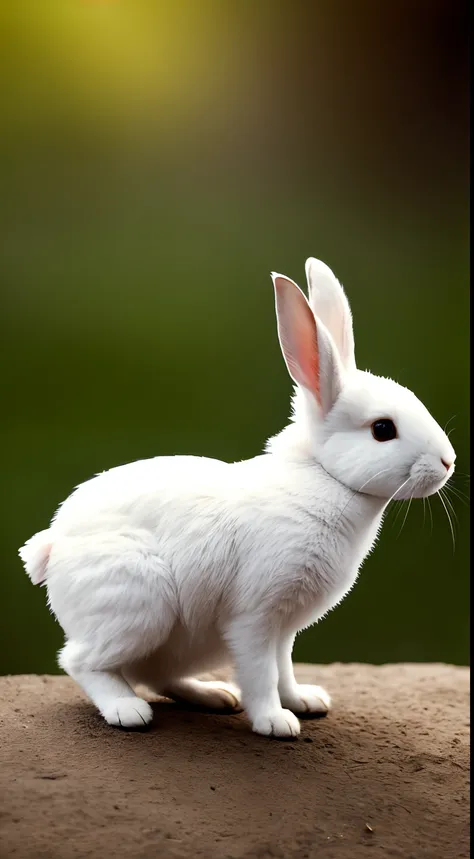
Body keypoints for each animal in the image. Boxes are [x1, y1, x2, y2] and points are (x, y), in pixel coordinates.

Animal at [19, 256, 456, 740]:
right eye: (382, 429)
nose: (448, 461)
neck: (323, 478)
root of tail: (50, 549)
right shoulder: (255, 616)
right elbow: (261, 673)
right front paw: (275, 722)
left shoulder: (284, 628)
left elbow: (284, 668)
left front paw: (304, 701)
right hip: (137, 604)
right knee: (82, 662)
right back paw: (128, 711)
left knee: (154, 674)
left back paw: (214, 696)